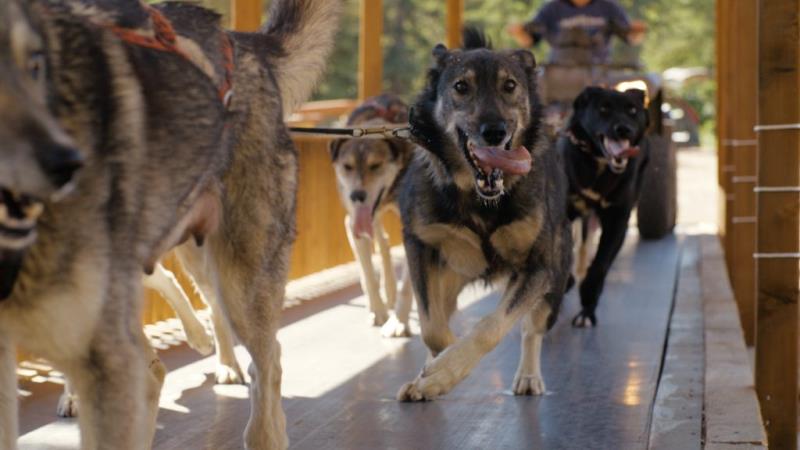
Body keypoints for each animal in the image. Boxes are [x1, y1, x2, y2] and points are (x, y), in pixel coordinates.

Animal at [0, 3, 340, 450]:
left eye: (35, 65)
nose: (65, 165)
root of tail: (243, 43)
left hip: (234, 277)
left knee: (261, 356)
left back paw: (236, 381)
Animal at [394, 28, 568, 400]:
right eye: (461, 86)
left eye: (510, 85)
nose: (494, 132)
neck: (479, 199)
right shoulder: (419, 247)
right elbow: (432, 329)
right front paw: (437, 369)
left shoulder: (538, 267)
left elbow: (492, 326)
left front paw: (446, 370)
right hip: (449, 277)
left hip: (555, 281)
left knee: (532, 328)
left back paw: (528, 376)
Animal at [560, 87, 652, 326]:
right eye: (603, 109)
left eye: (632, 110)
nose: (624, 129)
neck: (599, 164)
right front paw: (566, 280)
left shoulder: (617, 221)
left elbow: (600, 265)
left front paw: (587, 307)